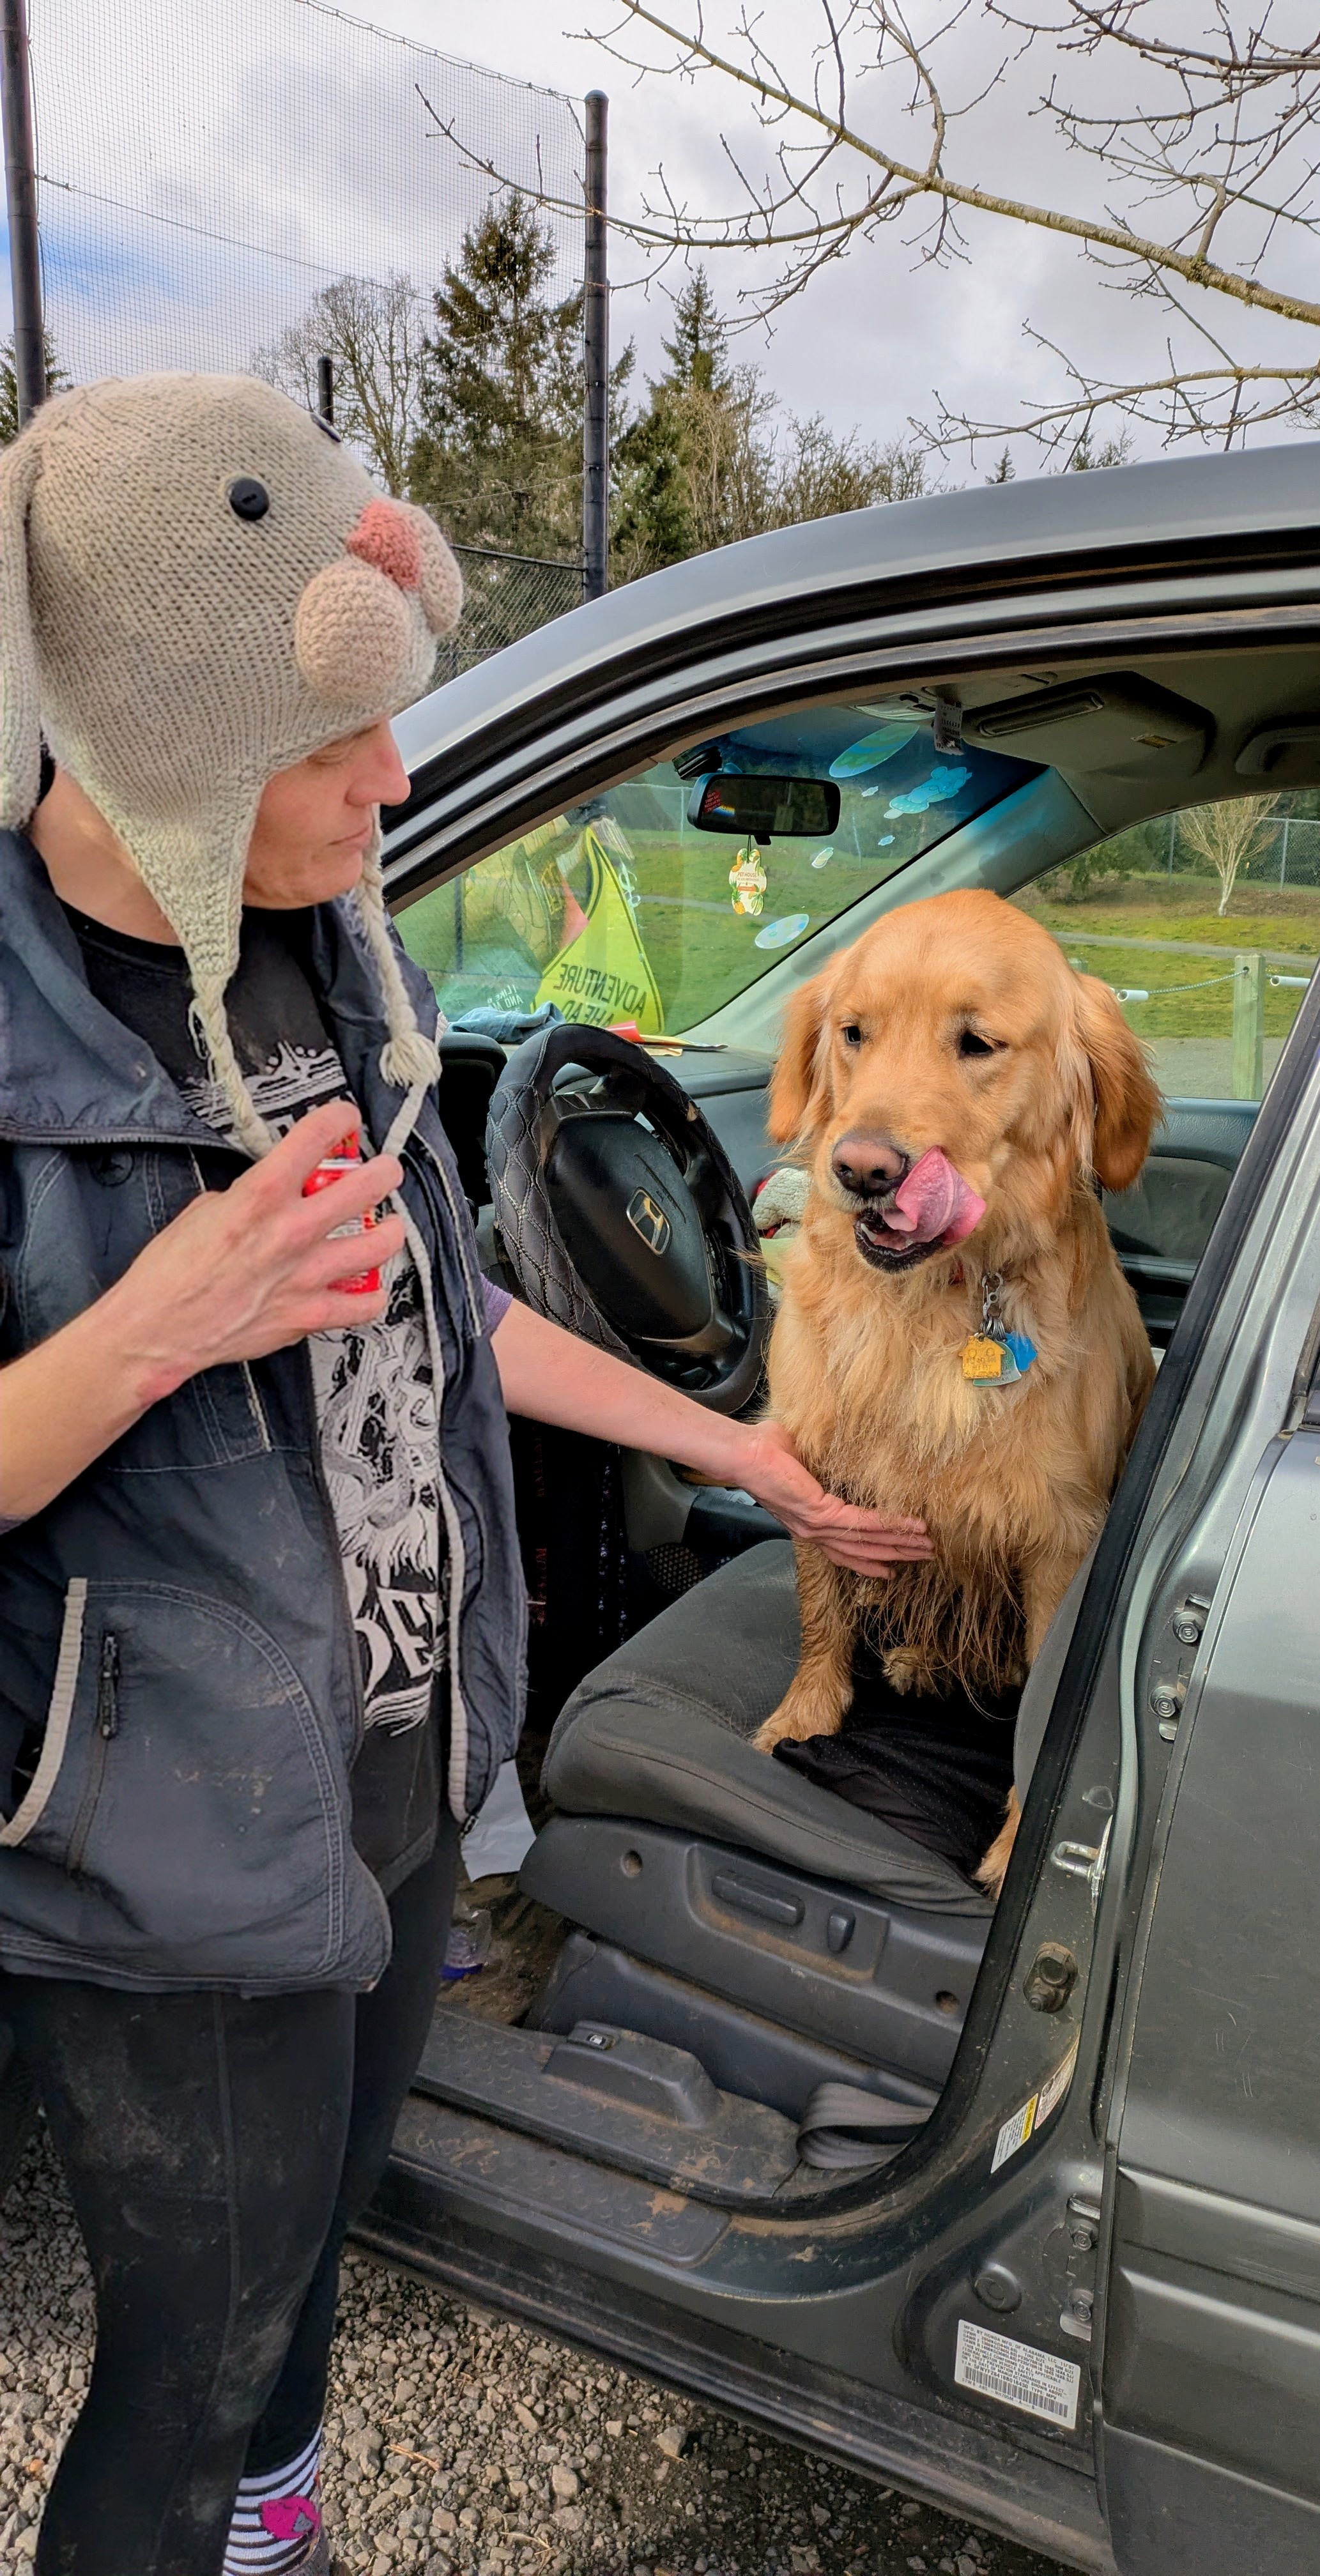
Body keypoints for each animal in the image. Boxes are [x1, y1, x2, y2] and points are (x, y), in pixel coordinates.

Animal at [753, 886, 1155, 1896]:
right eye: (853, 1033)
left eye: (976, 1043)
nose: (861, 1170)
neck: (935, 1298)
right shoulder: (816, 1467)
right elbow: (820, 1610)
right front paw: (803, 1717)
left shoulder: (1061, 1535)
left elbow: (1042, 1712)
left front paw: (1014, 1849)